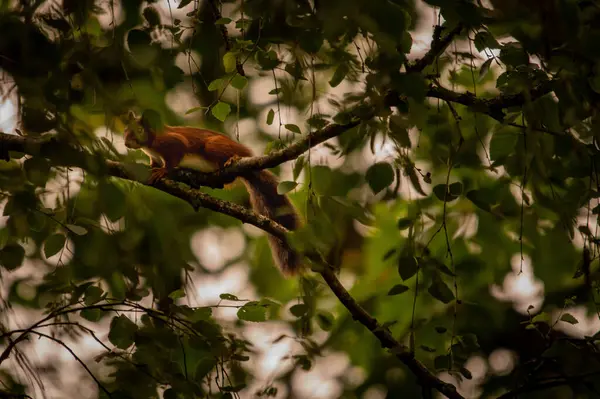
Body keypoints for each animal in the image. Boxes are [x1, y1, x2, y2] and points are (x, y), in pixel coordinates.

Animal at [122, 111, 302, 276]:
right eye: (125, 129)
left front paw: (163, 171)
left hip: (215, 146)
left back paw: (232, 159)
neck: (150, 145)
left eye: (139, 129)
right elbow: (154, 163)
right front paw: (151, 167)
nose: (126, 142)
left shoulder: (171, 141)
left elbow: (175, 156)